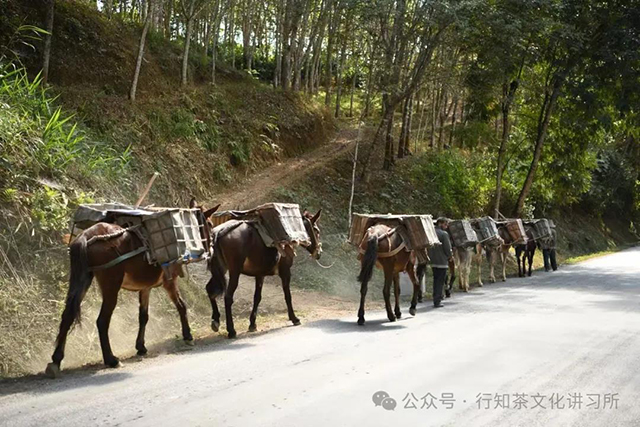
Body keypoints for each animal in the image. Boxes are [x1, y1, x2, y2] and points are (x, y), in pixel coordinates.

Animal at [45, 203, 219, 378]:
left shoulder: (145, 287)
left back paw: (56, 360)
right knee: (102, 321)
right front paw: (188, 335)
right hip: (111, 286)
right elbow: (181, 306)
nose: (212, 247)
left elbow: (143, 316)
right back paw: (111, 359)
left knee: (68, 315)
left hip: (83, 279)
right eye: (209, 224)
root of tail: (86, 236)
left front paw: (140, 347)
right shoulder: (169, 281)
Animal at [206, 210, 322, 338]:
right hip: (234, 272)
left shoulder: (260, 274)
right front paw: (294, 318)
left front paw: (252, 324)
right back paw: (231, 330)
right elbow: (288, 296)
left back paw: (216, 321)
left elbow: (257, 297)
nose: (319, 253)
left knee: (210, 290)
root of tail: (219, 231)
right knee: (228, 297)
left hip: (218, 271)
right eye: (316, 230)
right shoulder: (285, 272)